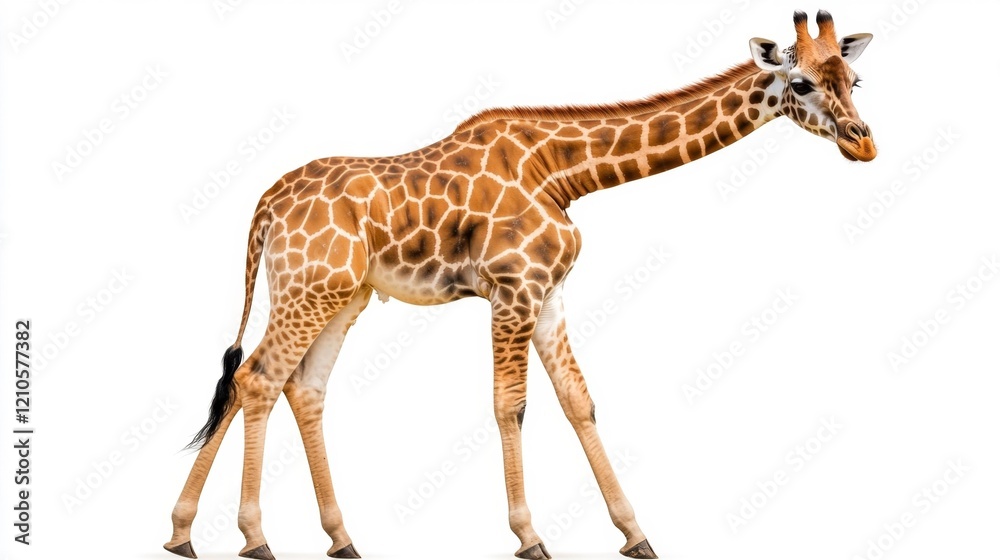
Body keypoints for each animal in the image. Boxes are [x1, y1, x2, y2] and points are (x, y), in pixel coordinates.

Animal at [165, 10, 874, 560]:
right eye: (801, 82)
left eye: (855, 79)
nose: (863, 144)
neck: (563, 171)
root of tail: (264, 207)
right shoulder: (513, 288)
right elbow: (512, 405)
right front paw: (531, 537)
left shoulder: (549, 293)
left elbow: (579, 401)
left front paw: (636, 533)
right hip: (309, 286)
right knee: (257, 377)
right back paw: (241, 536)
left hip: (342, 294)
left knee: (298, 387)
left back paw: (318, 537)